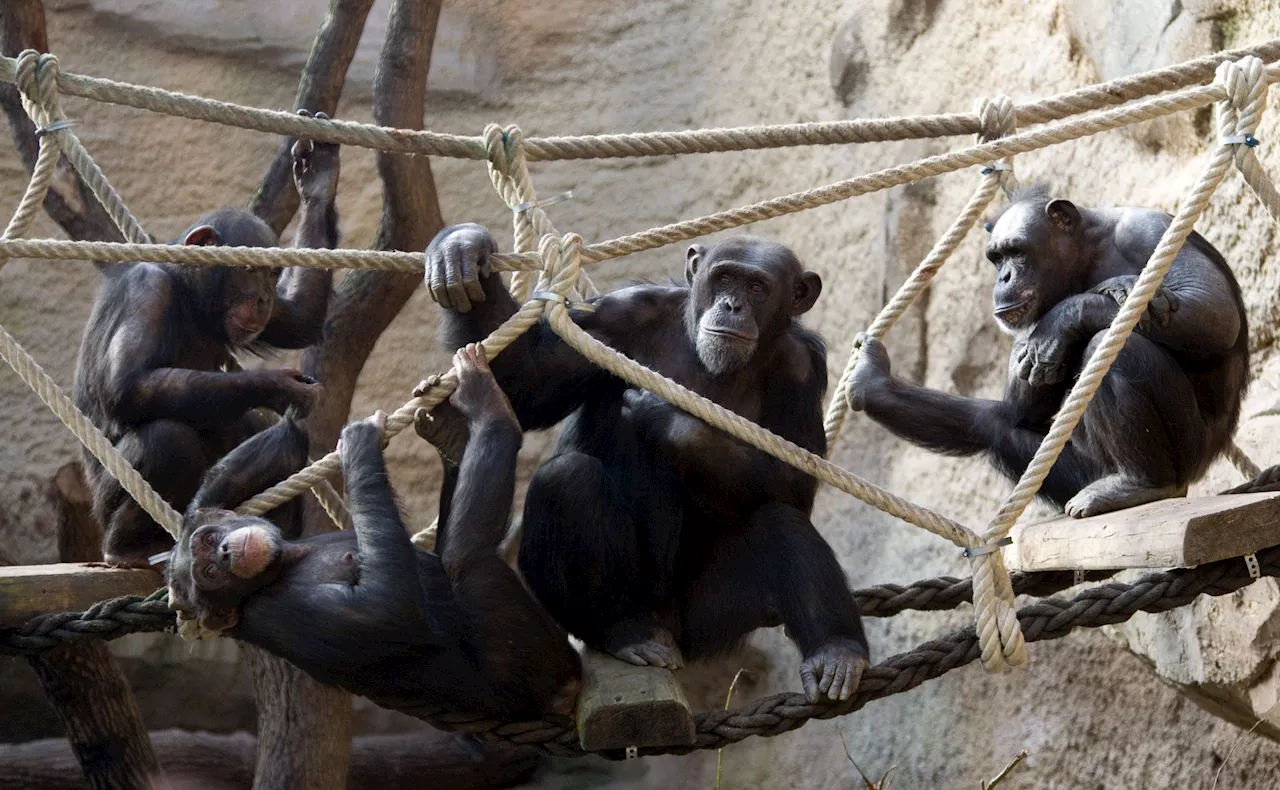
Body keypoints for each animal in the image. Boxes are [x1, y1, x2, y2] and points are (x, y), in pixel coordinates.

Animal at [73, 110, 340, 565]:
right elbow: (128, 386)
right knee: (167, 438)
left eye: (272, 272)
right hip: (106, 505)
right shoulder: (147, 291)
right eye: (249, 269)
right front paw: (280, 386)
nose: (263, 296)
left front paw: (319, 178)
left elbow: (300, 318)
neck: (188, 292)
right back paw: (129, 546)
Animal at [168, 345, 586, 722]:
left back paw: (450, 430)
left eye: (208, 542)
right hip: (522, 662)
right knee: (464, 558)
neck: (287, 560)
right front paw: (358, 443)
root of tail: (564, 694)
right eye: (209, 574)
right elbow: (384, 610)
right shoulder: (279, 613)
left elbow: (272, 455)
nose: (222, 554)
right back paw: (488, 404)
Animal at [424, 225, 865, 701]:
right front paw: (461, 249)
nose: (733, 306)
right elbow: (526, 382)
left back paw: (836, 651)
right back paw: (624, 631)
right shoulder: (619, 315)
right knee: (568, 479)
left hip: (709, 621)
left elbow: (797, 481)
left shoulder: (802, 367)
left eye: (757, 288)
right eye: (725, 279)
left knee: (783, 524)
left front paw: (669, 419)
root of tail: (667, 632)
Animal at [844, 185, 1244, 517]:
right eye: (996, 258)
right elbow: (1022, 411)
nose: (1002, 278)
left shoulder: (1148, 230)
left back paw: (1142, 483)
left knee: (1115, 347)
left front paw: (1068, 317)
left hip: (1189, 452)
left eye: (1017, 252)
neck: (1086, 254)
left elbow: (1213, 309)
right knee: (995, 424)